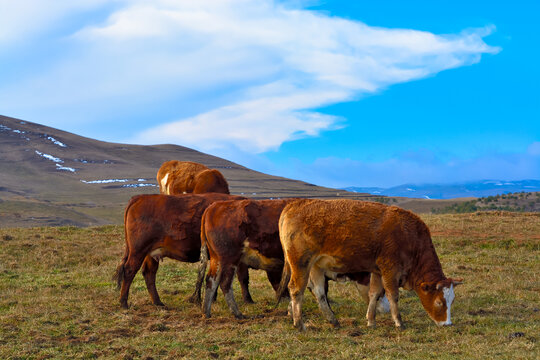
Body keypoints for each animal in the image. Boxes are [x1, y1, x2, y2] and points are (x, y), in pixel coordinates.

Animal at [114, 193, 245, 308]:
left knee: (149, 273)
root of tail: (139, 198)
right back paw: (124, 303)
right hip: (137, 251)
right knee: (129, 270)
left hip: (150, 254)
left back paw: (158, 302)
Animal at [198, 198, 388, 320]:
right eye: (382, 291)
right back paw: (236, 313)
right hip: (228, 259)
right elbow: (318, 289)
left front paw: (291, 310)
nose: (385, 309)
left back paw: (206, 312)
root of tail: (214, 206)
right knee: (224, 283)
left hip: (218, 259)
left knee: (211, 280)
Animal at [278, 198, 464, 330]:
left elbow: (374, 293)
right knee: (296, 289)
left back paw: (333, 320)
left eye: (452, 300)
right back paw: (299, 324)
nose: (447, 324)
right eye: (439, 302)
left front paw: (371, 321)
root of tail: (293, 205)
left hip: (315, 266)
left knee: (319, 292)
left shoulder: (377, 271)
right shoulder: (390, 269)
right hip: (301, 263)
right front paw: (399, 322)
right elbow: (393, 295)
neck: (409, 236)